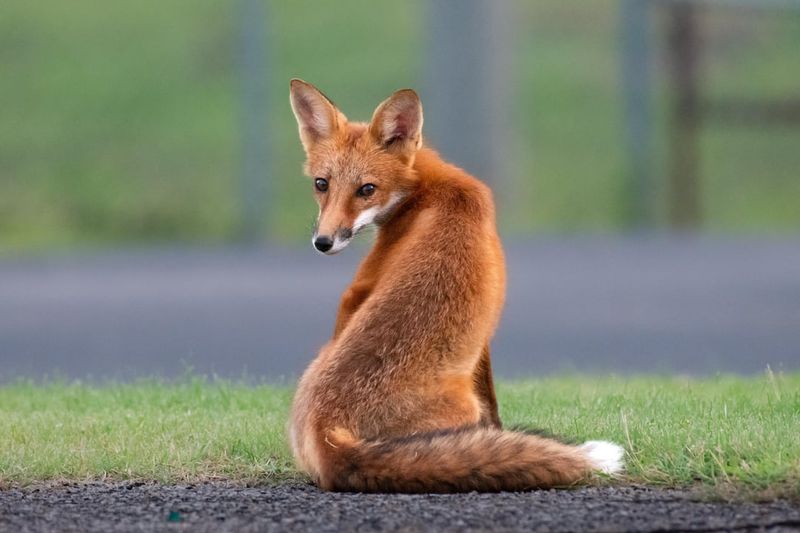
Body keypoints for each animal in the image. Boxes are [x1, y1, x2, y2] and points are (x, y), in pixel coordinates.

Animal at [287, 79, 624, 493]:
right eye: (322, 184)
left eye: (367, 189)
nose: (324, 242)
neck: (428, 187)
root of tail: (327, 434)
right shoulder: (472, 335)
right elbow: (493, 405)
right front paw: (498, 439)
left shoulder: (362, 290)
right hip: (463, 402)